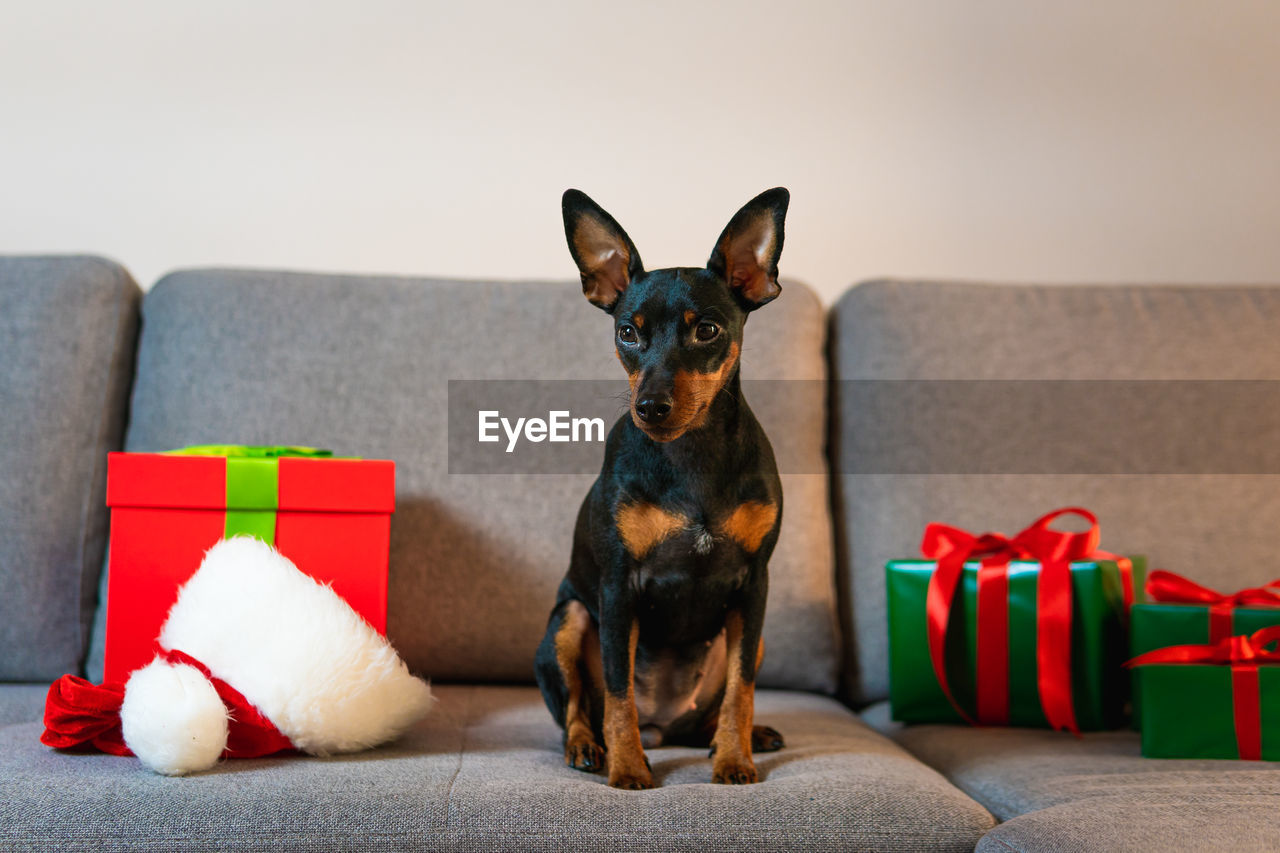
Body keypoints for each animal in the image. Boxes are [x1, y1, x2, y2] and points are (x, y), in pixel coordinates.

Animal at [532, 184, 788, 783]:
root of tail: (663, 725)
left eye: (707, 330)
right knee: (579, 708)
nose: (649, 406)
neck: (691, 456)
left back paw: (740, 739)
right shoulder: (618, 587)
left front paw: (735, 760)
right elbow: (617, 692)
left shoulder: (754, 585)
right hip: (567, 621)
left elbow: (741, 690)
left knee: (714, 711)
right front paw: (628, 769)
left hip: (754, 637)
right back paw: (590, 748)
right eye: (628, 333)